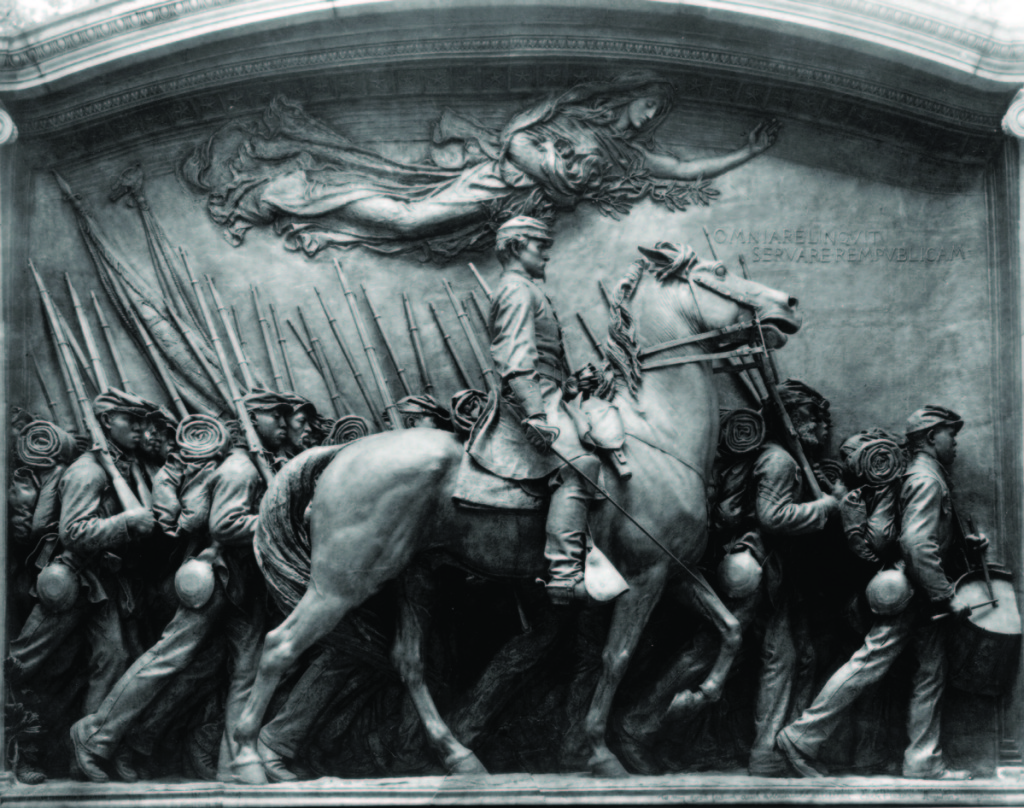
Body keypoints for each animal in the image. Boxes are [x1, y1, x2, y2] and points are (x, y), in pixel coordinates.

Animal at [232, 245, 798, 782]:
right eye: (720, 272)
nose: (788, 305)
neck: (655, 434)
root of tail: (340, 454)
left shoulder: (676, 570)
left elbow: (730, 628)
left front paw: (690, 700)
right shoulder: (645, 576)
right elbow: (615, 661)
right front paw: (600, 752)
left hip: (416, 577)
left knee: (408, 662)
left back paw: (458, 757)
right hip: (343, 582)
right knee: (280, 646)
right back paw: (248, 760)